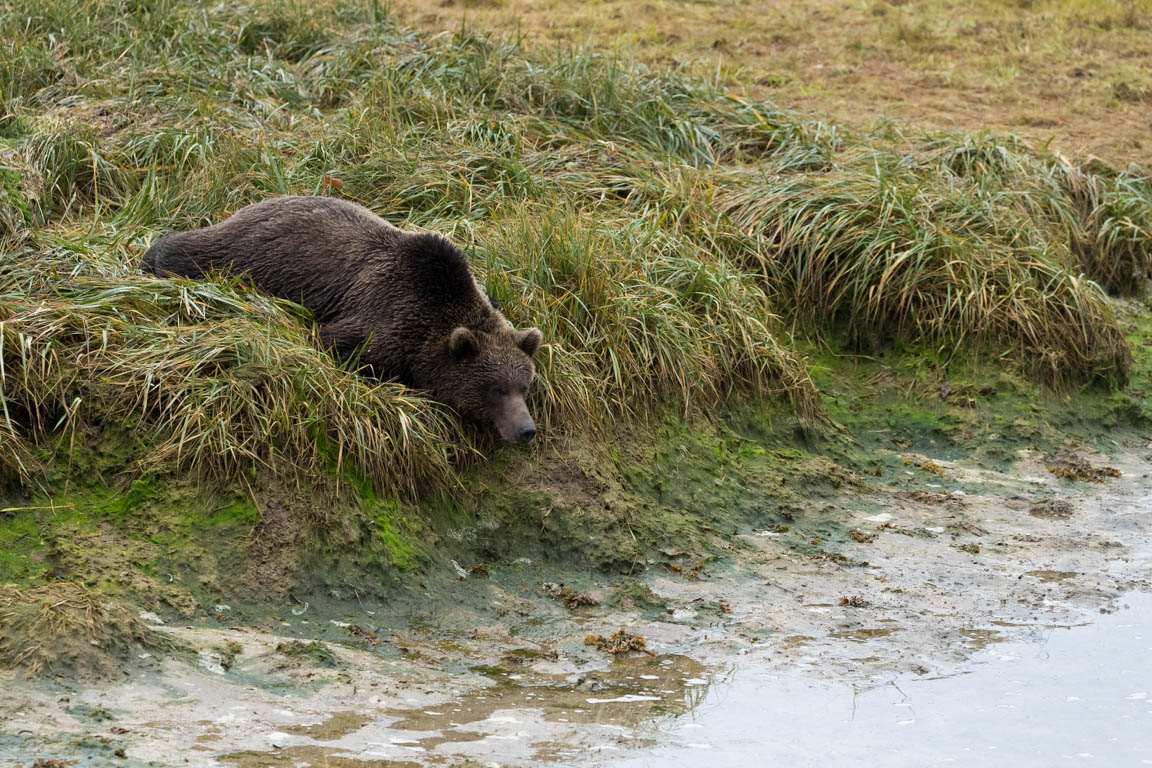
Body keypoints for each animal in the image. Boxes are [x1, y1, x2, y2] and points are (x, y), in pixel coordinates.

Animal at [139, 196, 543, 444]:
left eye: (524, 386)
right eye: (495, 389)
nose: (526, 429)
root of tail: (250, 205)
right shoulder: (380, 314)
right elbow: (341, 345)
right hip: (241, 257)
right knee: (191, 252)